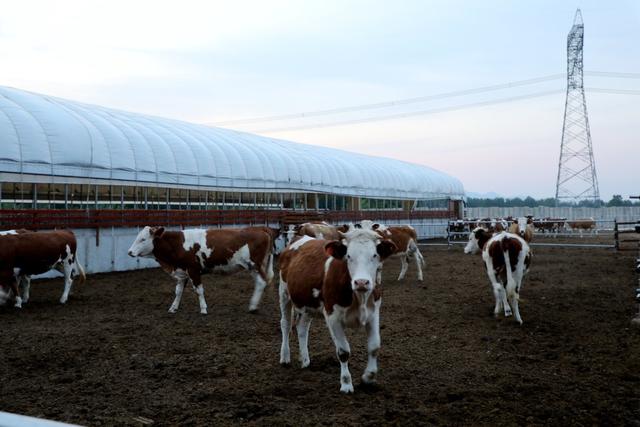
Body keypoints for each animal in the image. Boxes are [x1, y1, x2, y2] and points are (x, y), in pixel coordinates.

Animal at [127, 227, 272, 314]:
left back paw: (253, 307)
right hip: (253, 267)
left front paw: (203, 309)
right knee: (260, 283)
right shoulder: (183, 272)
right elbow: (178, 291)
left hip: (255, 265)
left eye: (143, 239)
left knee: (261, 282)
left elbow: (199, 290)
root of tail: (261, 230)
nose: (129, 252)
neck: (178, 244)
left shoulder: (193, 270)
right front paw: (173, 308)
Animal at [278, 231, 398, 394]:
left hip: (307, 303)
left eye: (374, 255)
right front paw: (346, 384)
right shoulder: (332, 317)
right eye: (349, 256)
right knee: (285, 324)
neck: (358, 297)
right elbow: (343, 351)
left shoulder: (373, 314)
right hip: (284, 293)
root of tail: (299, 238)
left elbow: (374, 347)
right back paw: (285, 357)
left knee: (302, 327)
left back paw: (305, 360)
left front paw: (368, 378)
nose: (361, 282)